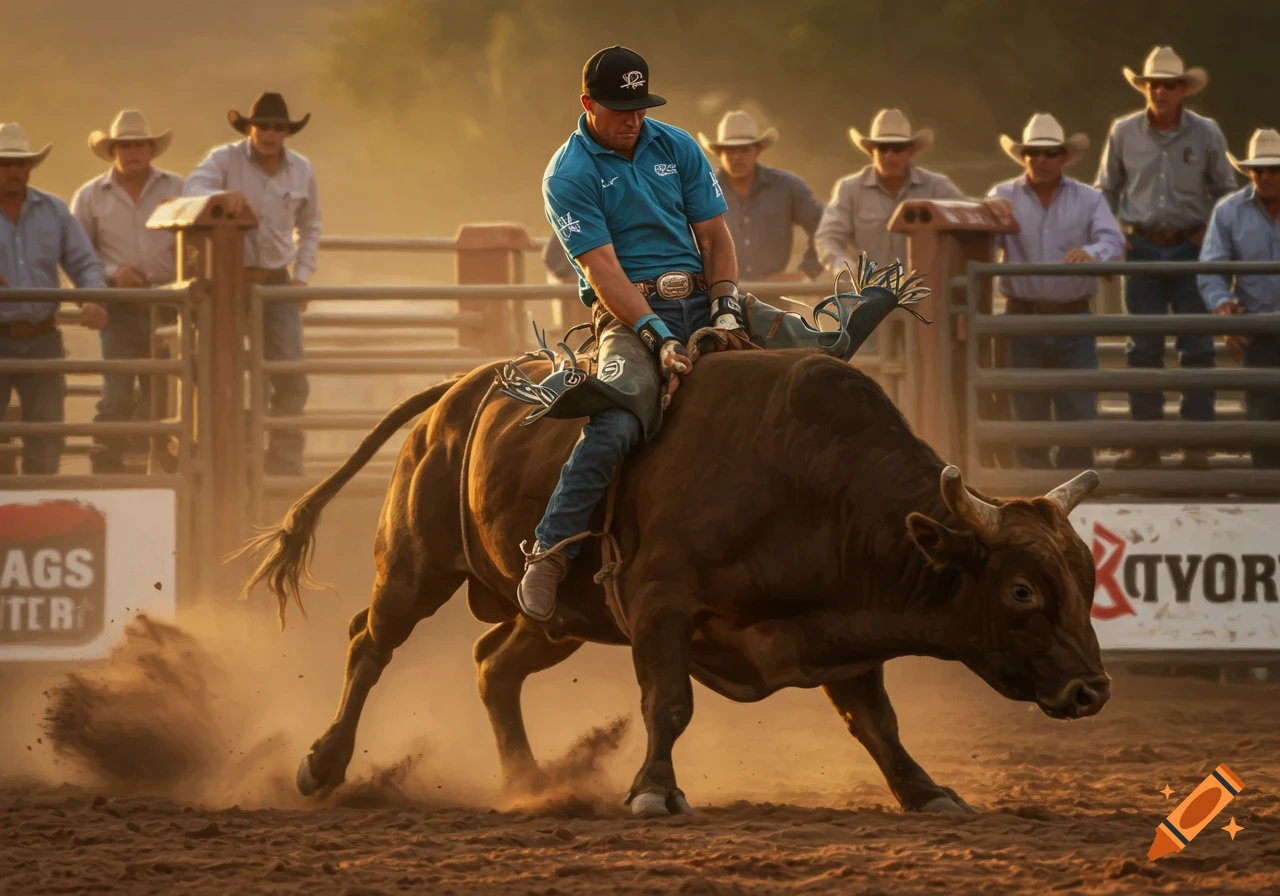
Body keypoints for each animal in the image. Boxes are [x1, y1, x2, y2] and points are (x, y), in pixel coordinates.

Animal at [242, 348, 1110, 818]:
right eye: (1023, 591)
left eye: (1087, 576)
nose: (1092, 691)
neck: (809, 477)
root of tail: (456, 392)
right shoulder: (660, 605)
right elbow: (669, 702)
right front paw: (655, 790)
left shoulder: (843, 628)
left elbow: (877, 723)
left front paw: (927, 792)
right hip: (415, 562)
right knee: (370, 645)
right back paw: (323, 765)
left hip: (556, 614)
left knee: (494, 666)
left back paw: (530, 782)